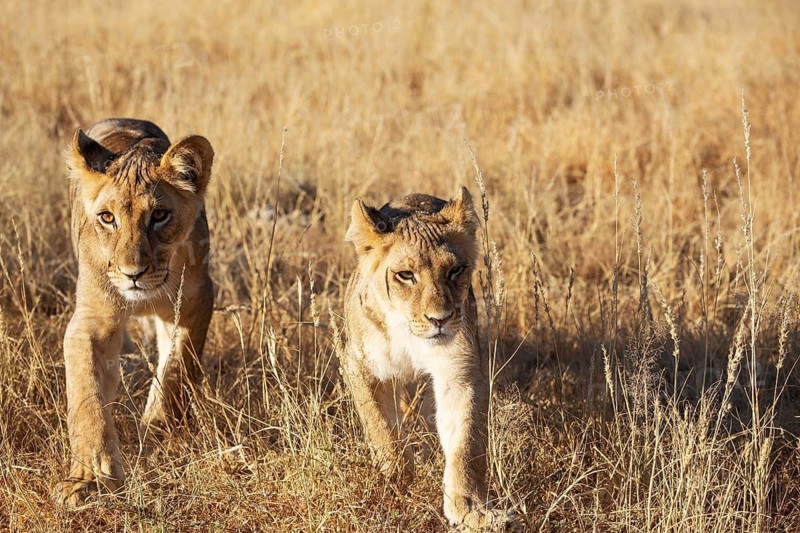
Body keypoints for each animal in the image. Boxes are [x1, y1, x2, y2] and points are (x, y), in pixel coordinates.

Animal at [54, 118, 215, 507]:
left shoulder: (194, 302)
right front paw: (88, 479)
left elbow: (176, 369)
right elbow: (87, 397)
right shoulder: (93, 320)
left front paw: (158, 429)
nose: (133, 274)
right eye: (107, 218)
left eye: (159, 216)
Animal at [342, 187, 519, 530]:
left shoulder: (458, 370)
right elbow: (381, 427)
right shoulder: (358, 366)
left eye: (454, 270)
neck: (407, 332)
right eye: (405, 275)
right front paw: (397, 480)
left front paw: (471, 510)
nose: (440, 319)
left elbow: (466, 443)